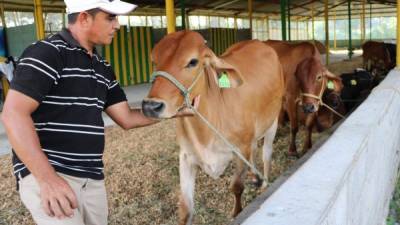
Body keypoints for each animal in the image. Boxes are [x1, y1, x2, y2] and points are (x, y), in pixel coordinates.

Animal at [141, 31, 284, 225]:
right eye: (154, 61)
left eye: (193, 62)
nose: (150, 106)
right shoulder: (186, 156)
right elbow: (186, 208)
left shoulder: (240, 149)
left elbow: (236, 186)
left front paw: (236, 213)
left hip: (272, 121)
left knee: (266, 154)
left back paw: (263, 183)